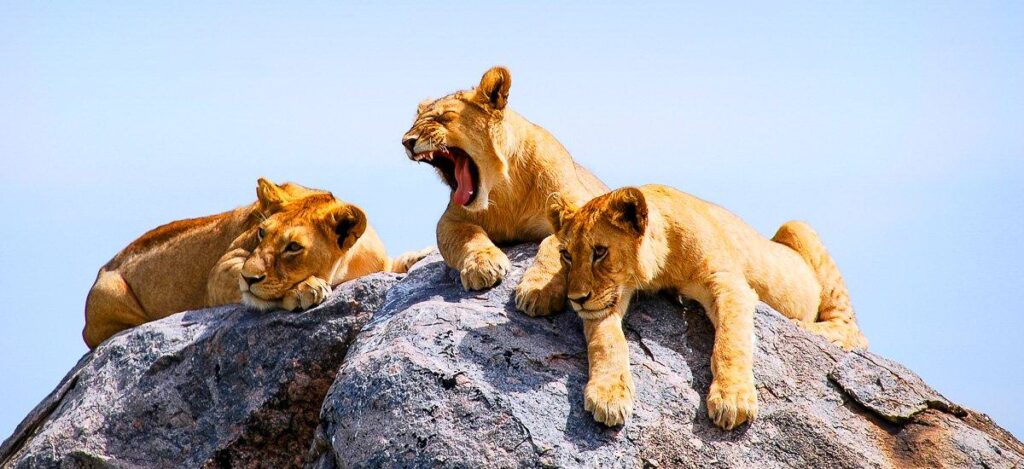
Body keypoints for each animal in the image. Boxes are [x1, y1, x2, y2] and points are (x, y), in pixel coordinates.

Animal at [83, 178, 429, 349]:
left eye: (293, 247)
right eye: (262, 232)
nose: (250, 279)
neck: (347, 265)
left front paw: (420, 256)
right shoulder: (224, 267)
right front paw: (304, 288)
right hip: (111, 294)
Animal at [402, 66, 606, 314]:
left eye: (443, 117)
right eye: (413, 124)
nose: (406, 141)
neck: (505, 188)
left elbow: (552, 244)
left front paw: (538, 290)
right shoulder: (450, 219)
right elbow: (468, 235)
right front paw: (482, 265)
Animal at [548, 185, 868, 429]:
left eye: (600, 252)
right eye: (566, 255)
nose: (576, 298)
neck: (663, 267)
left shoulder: (728, 282)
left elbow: (731, 341)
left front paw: (732, 399)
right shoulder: (608, 300)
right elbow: (607, 341)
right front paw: (609, 394)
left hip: (797, 227)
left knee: (854, 332)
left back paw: (807, 328)